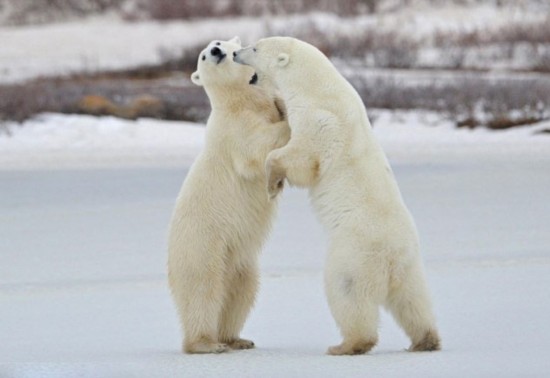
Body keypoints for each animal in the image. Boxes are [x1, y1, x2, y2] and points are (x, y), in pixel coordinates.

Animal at [168, 37, 292, 354]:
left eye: (219, 41)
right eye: (202, 56)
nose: (215, 51)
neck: (240, 100)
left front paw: (283, 104)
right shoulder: (235, 130)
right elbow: (258, 148)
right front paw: (288, 121)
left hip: (241, 261)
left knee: (242, 292)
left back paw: (236, 338)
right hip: (202, 244)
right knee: (203, 289)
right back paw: (206, 343)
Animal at [235, 37, 442, 356]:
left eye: (255, 47)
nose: (234, 52)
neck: (317, 86)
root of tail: (392, 259)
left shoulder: (320, 121)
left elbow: (301, 159)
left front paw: (273, 184)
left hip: (354, 255)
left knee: (347, 293)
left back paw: (346, 345)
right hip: (411, 266)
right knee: (413, 301)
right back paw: (425, 340)